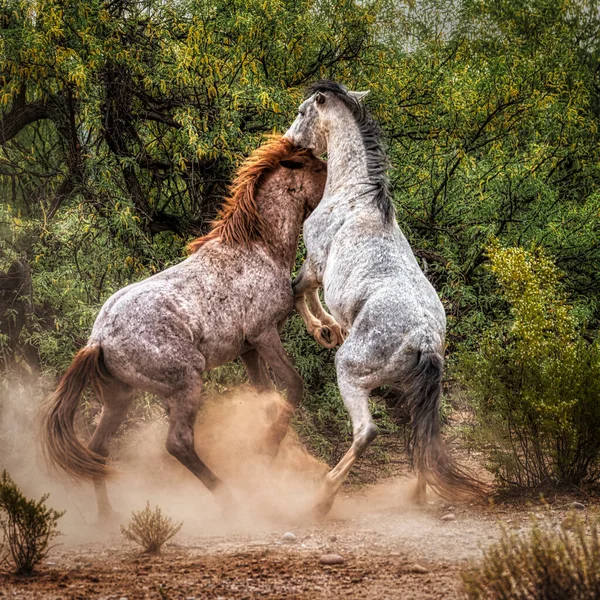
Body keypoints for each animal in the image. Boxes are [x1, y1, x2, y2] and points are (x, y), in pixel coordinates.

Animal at [42, 137, 326, 520]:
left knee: (97, 450)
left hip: (120, 398)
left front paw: (265, 455)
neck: (261, 249)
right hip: (186, 383)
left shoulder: (248, 350)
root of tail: (98, 340)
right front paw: (268, 452)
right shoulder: (265, 335)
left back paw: (107, 516)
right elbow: (293, 388)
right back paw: (231, 501)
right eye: (322, 168)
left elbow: (268, 401)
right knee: (178, 444)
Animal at [284, 78, 486, 516]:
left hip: (351, 373)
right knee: (422, 436)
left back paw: (324, 496)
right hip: (412, 390)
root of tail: (423, 338)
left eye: (302, 111)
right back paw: (418, 493)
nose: (289, 142)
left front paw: (324, 330)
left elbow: (298, 292)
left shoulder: (316, 261)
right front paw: (330, 327)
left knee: (367, 431)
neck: (354, 195)